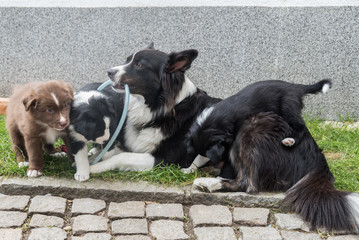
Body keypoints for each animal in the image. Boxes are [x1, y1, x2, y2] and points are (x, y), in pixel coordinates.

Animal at [88, 43, 221, 174]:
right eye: (127, 60)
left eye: (139, 64)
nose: (109, 72)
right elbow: (111, 151)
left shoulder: (164, 159)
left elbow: (122, 156)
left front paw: (94, 167)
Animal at [187, 79, 334, 169]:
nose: (216, 164)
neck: (215, 120)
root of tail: (295, 87)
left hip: (288, 107)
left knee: (300, 126)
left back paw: (290, 140)